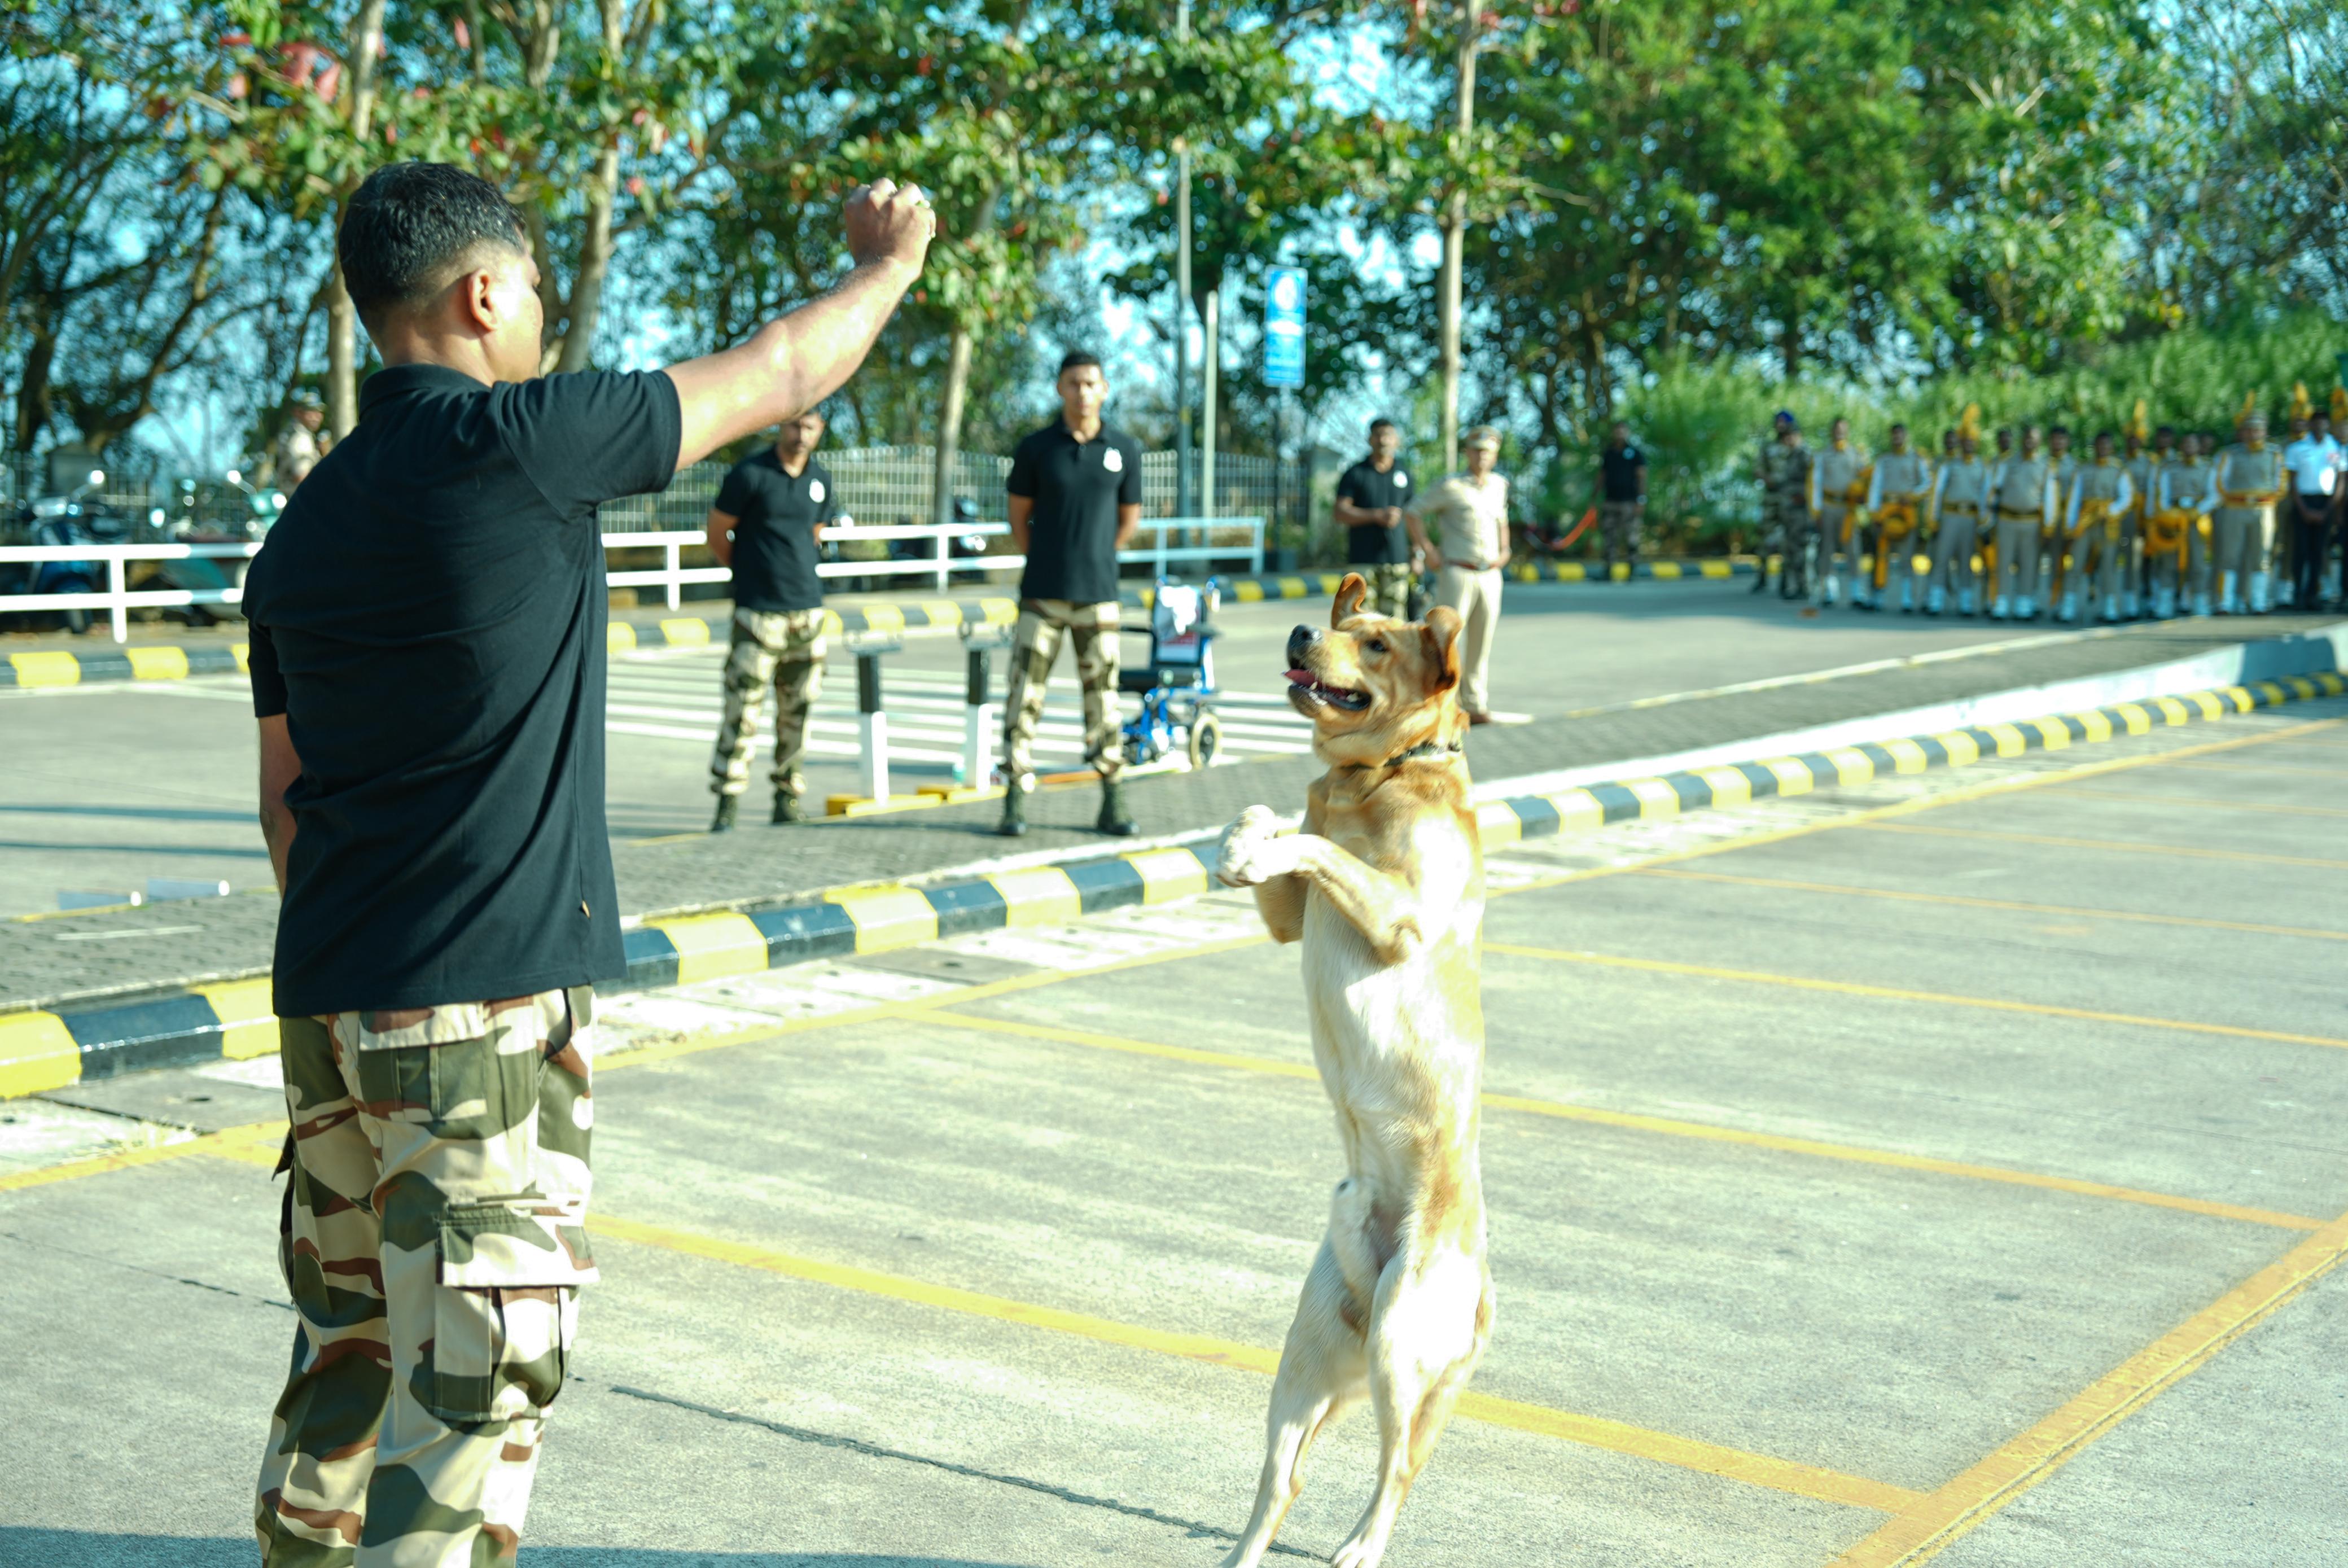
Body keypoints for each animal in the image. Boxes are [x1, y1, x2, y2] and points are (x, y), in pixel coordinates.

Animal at [1213, 572, 1492, 1568]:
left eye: (1377, 645)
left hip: (1400, 1346)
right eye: (1345, 624)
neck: (1375, 774)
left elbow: (1319, 846)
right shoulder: (1288, 920)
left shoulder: (1398, 916)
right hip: (1305, 1359)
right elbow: (1286, 836)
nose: (1301, 629)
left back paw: (1362, 1545)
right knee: (1280, 1483)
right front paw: (1248, 831)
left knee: (1399, 1467)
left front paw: (1263, 840)